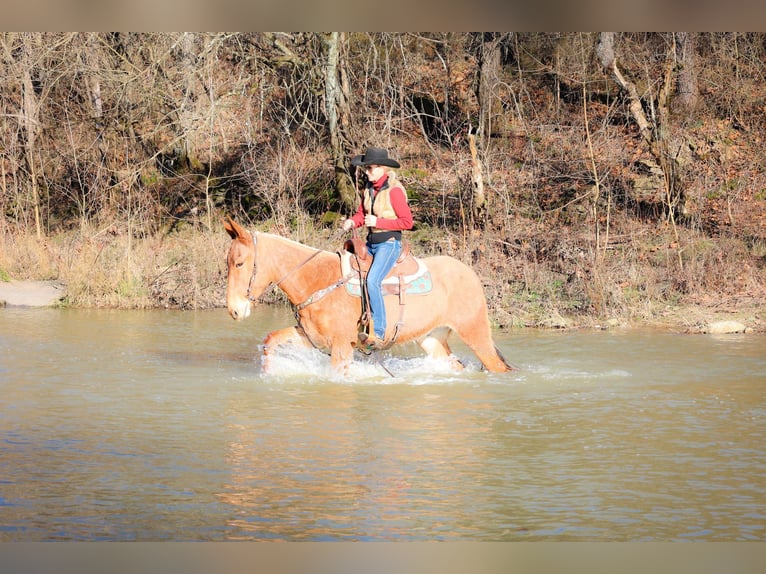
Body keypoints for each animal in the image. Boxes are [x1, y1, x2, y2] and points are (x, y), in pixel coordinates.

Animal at [225, 218, 512, 376]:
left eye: (239, 263)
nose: (234, 310)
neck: (317, 280)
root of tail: (470, 273)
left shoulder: (341, 347)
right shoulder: (311, 338)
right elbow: (270, 340)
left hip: (475, 333)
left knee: (497, 366)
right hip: (432, 338)